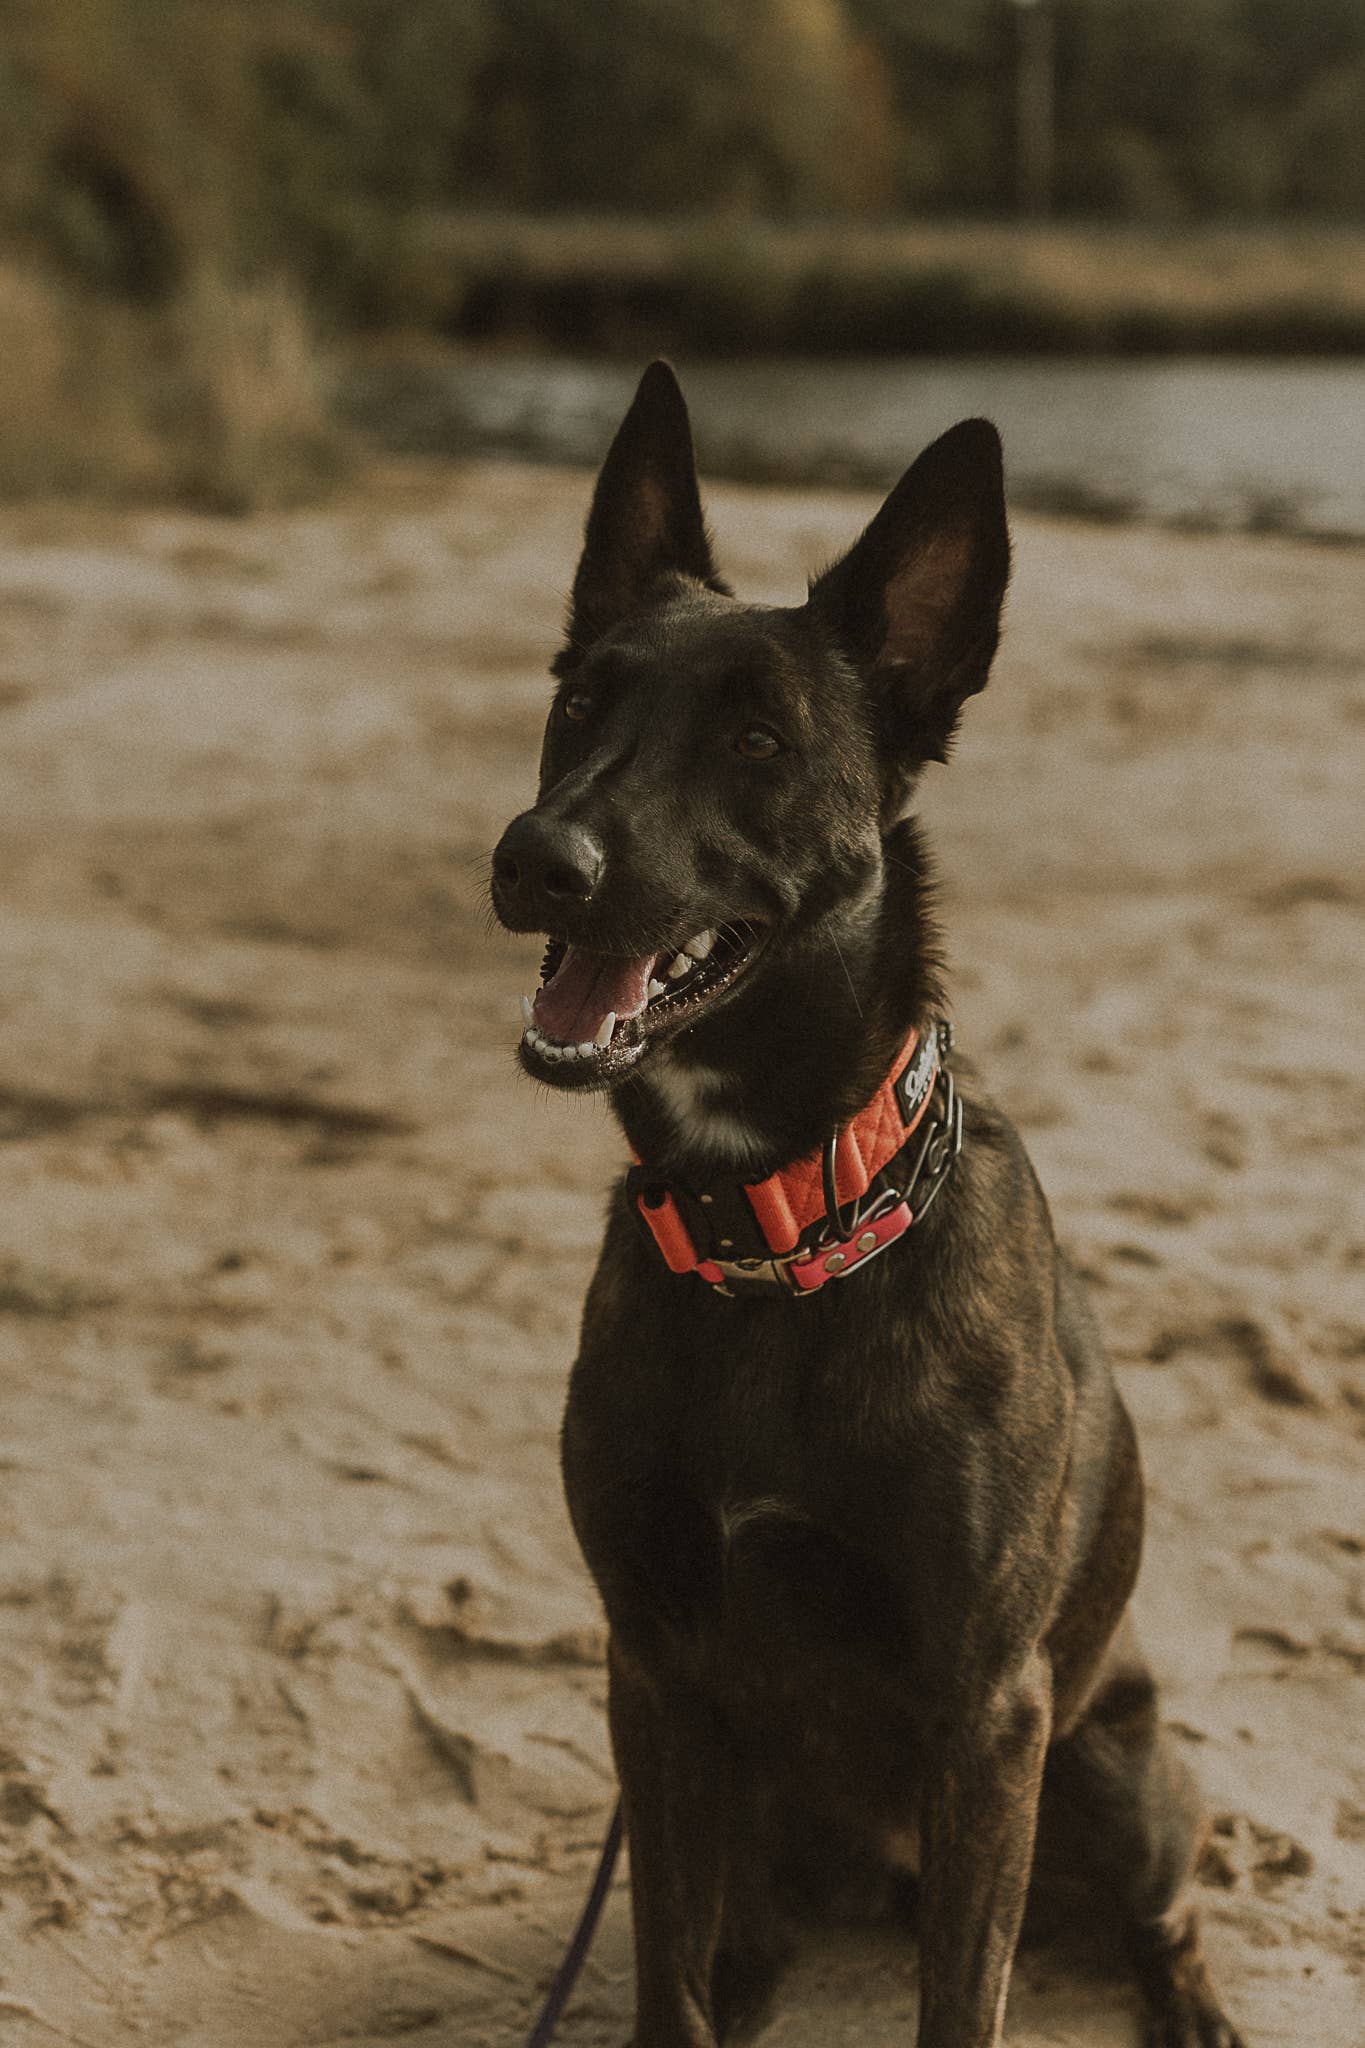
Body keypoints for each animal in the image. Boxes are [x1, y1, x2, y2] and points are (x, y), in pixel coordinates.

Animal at [493, 368, 1252, 2048]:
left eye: (757, 737)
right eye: (578, 704)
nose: (535, 859)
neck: (779, 1230)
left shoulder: (987, 1717)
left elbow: (962, 1999)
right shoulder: (652, 1677)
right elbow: (664, 1974)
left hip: (1113, 1774)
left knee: (1162, 1913)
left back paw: (1193, 2006)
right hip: (751, 1809)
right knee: (733, 1944)